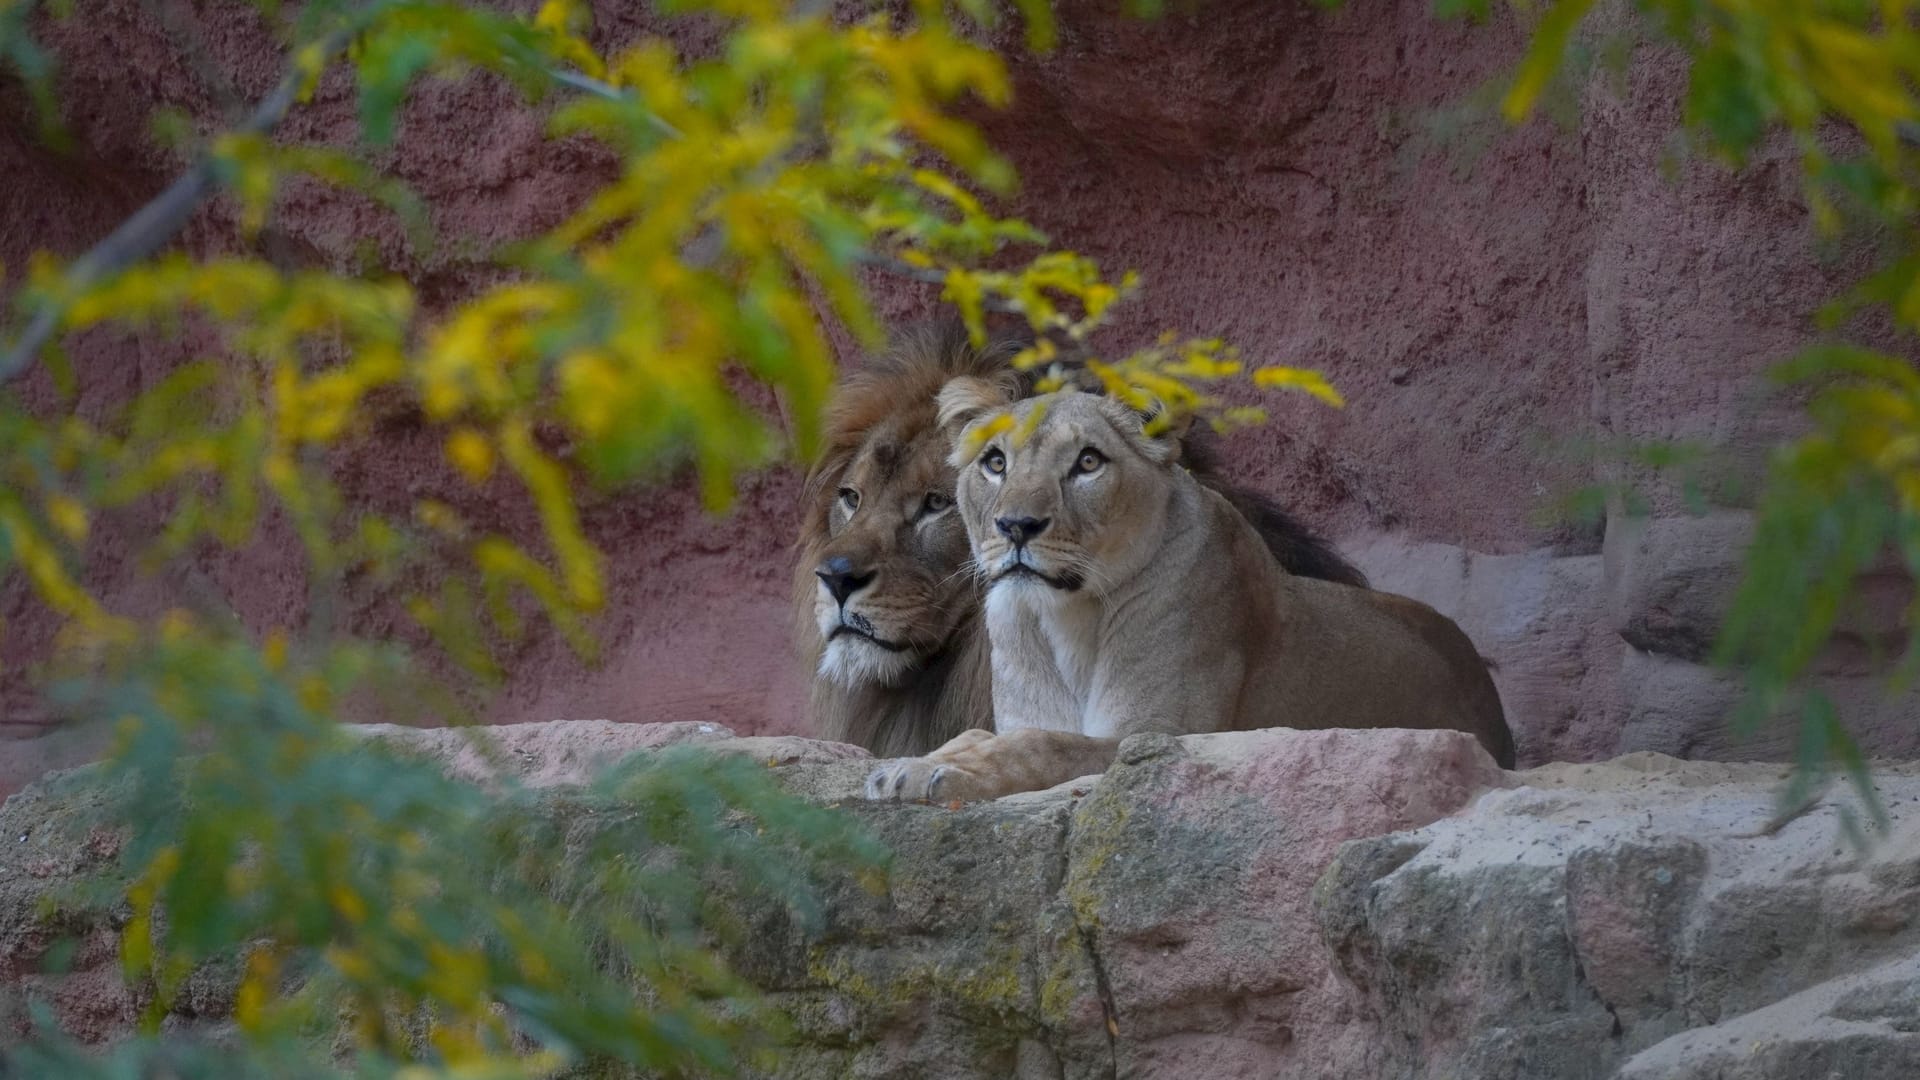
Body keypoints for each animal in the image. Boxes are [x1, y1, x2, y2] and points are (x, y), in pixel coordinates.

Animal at [867, 378, 1512, 799]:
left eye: (1088, 462)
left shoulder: (1164, 738)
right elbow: (999, 733)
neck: (1065, 617)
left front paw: (935, 770)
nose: (1016, 526)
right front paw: (921, 761)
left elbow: (1047, 745)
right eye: (995, 462)